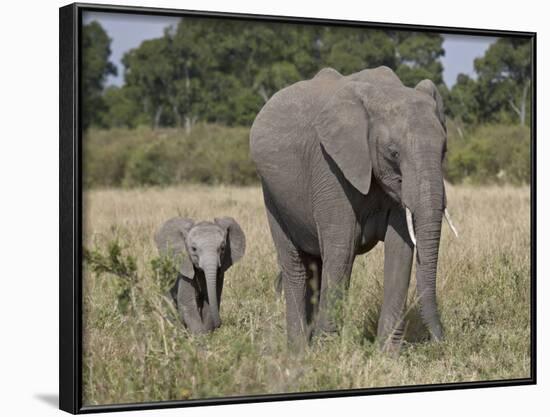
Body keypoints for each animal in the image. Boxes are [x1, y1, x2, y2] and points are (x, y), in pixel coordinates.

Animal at [250, 66, 458, 352]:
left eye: (444, 150)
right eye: (393, 153)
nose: (440, 341)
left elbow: (400, 249)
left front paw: (387, 354)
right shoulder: (330, 167)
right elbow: (342, 247)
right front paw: (327, 352)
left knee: (316, 265)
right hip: (272, 194)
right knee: (296, 265)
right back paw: (298, 350)